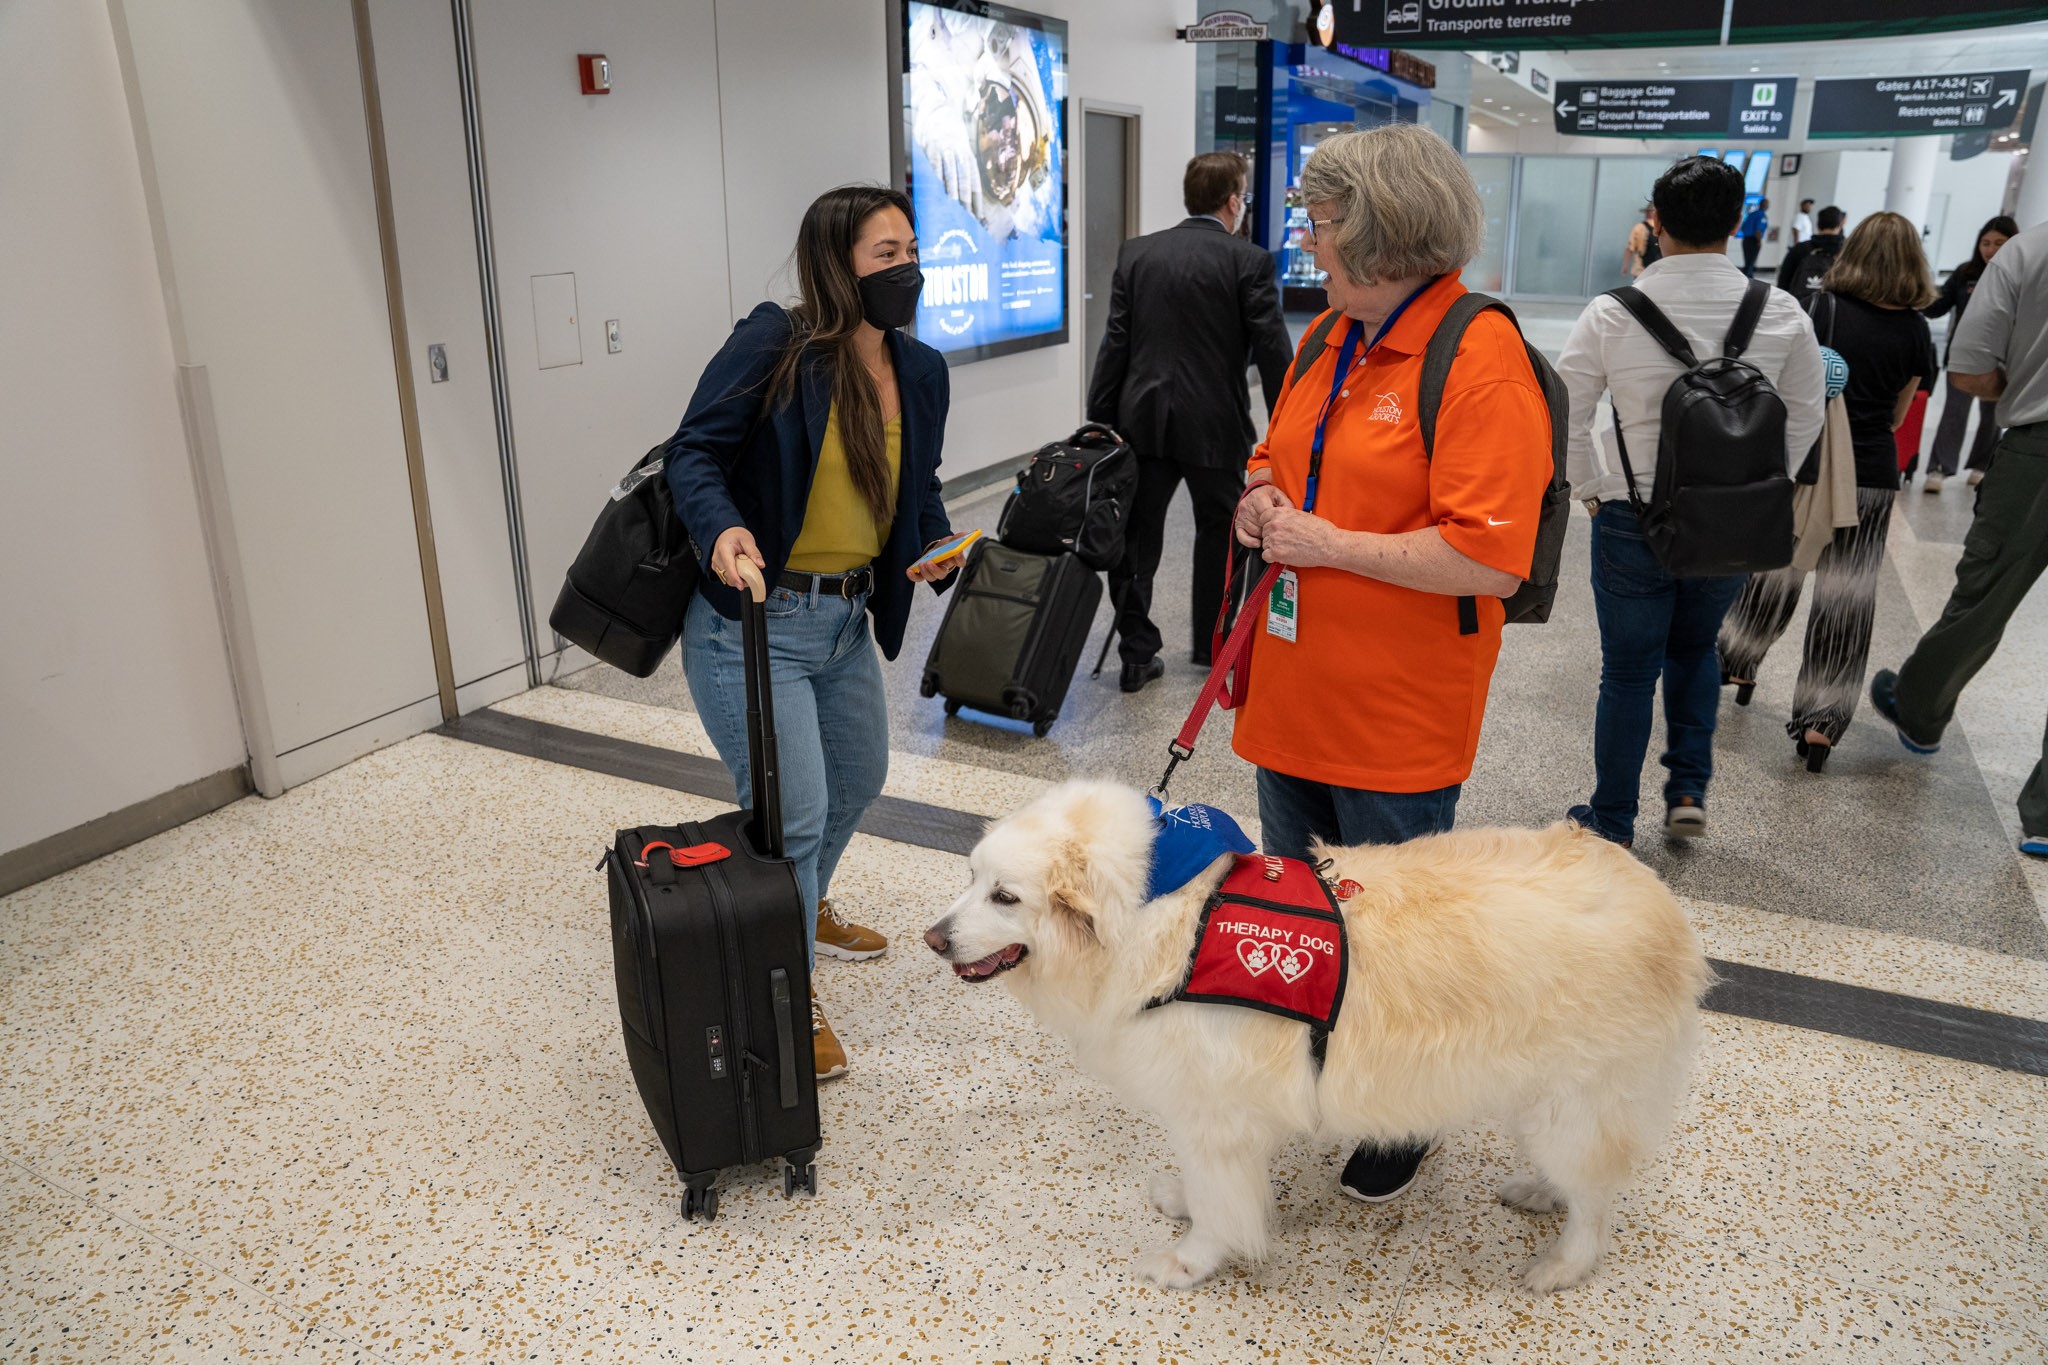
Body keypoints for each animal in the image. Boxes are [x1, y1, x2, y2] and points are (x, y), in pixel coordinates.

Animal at [929, 777, 1712, 1293]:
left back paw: (1559, 1265)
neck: (1174, 919)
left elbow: (1220, 1205)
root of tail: (1664, 904)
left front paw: (1188, 1260)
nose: (933, 939)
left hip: (1574, 1102)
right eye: (971, 878)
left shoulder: (1214, 1113)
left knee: (1597, 1205)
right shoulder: (1226, 1109)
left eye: (1006, 896)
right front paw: (1186, 1202)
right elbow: (1214, 1186)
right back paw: (1543, 1193)